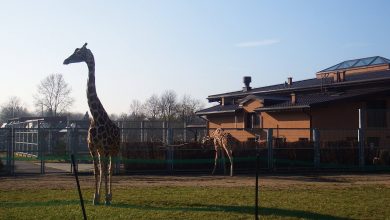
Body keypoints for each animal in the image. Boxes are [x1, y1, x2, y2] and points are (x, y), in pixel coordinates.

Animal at [63, 43, 120, 206]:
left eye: (79, 52)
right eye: (75, 51)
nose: (65, 60)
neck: (96, 117)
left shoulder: (106, 148)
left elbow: (106, 171)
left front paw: (106, 198)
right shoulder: (93, 148)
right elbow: (96, 171)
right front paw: (95, 197)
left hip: (115, 150)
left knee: (110, 169)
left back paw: (110, 196)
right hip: (102, 151)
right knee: (103, 168)